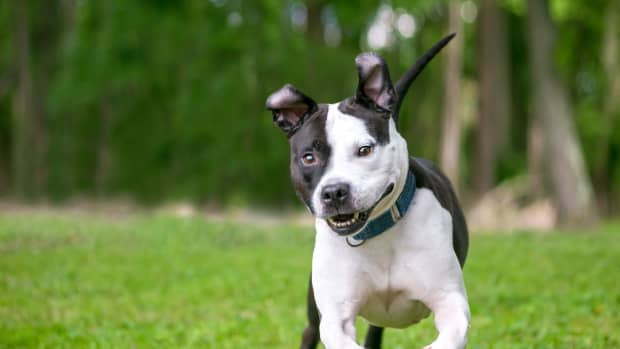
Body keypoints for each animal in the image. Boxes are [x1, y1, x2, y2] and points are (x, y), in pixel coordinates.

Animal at [266, 33, 470, 348]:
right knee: (311, 332)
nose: (334, 192)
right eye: (309, 157)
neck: (377, 233)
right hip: (314, 317)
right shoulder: (334, 319)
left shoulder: (450, 301)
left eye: (365, 149)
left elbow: (449, 336)